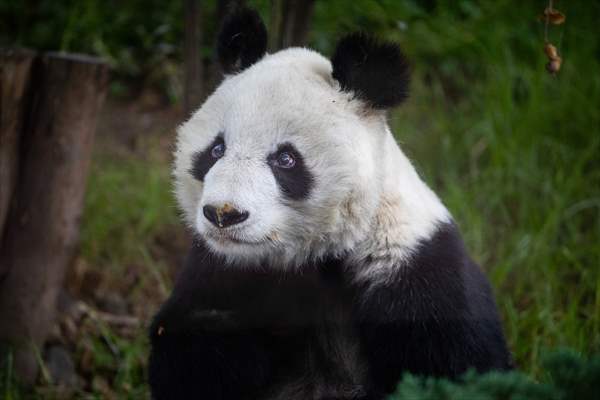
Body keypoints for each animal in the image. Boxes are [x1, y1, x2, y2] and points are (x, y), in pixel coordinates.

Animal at [149, 7, 510, 400]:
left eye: (285, 159)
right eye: (216, 150)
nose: (223, 214)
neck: (312, 258)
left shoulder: (417, 273)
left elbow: (459, 369)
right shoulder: (216, 269)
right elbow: (186, 355)